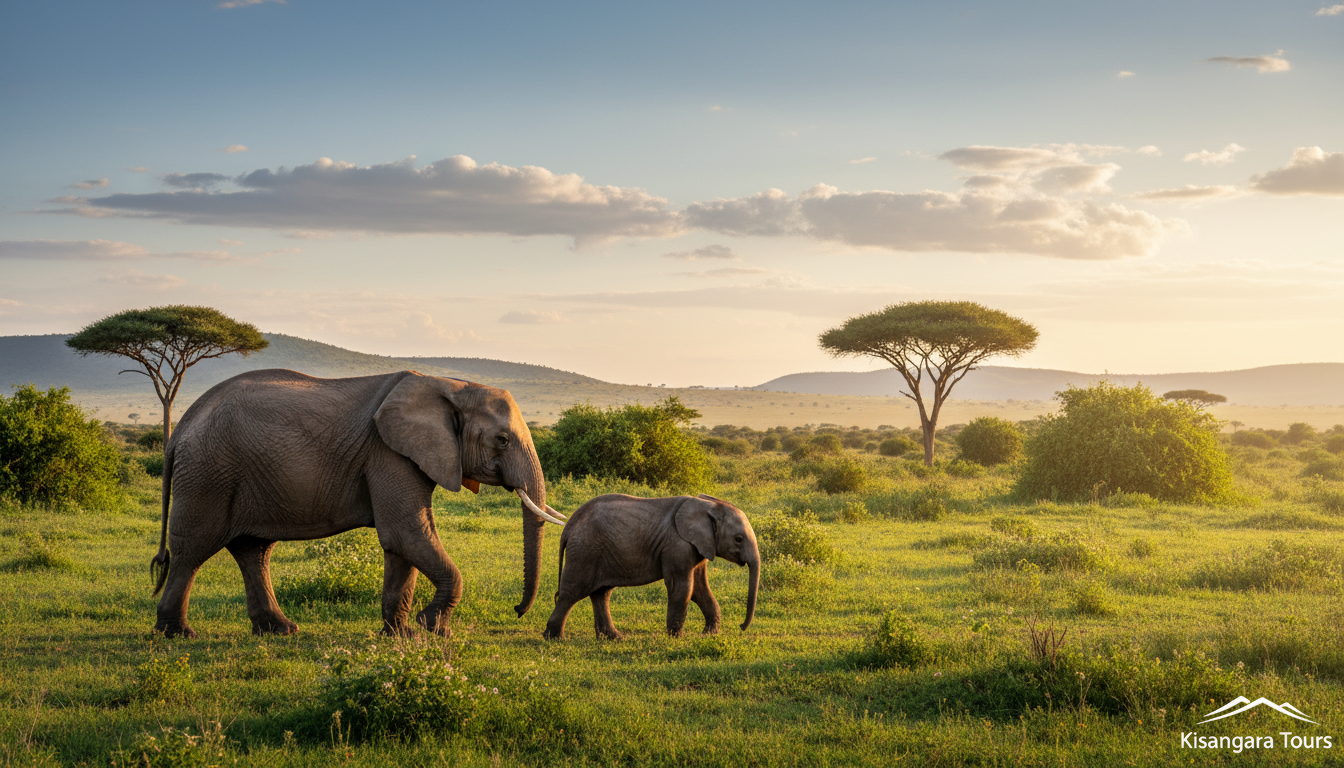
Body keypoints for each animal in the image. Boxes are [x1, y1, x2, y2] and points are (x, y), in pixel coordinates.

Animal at [149, 368, 567, 639]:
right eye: (502, 440)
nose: (517, 611)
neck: (450, 383)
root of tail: (180, 428)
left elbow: (402, 544)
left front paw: (399, 635)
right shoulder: (388, 452)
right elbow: (405, 533)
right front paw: (430, 628)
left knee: (254, 551)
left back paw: (280, 630)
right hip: (207, 472)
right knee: (192, 551)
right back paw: (178, 634)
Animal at [543, 493, 760, 640]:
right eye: (738, 539)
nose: (741, 626)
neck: (709, 505)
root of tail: (570, 524)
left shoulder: (699, 545)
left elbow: (699, 588)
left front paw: (708, 635)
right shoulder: (677, 545)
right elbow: (683, 588)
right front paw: (676, 638)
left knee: (601, 593)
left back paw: (613, 638)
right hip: (584, 551)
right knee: (572, 592)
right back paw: (554, 638)